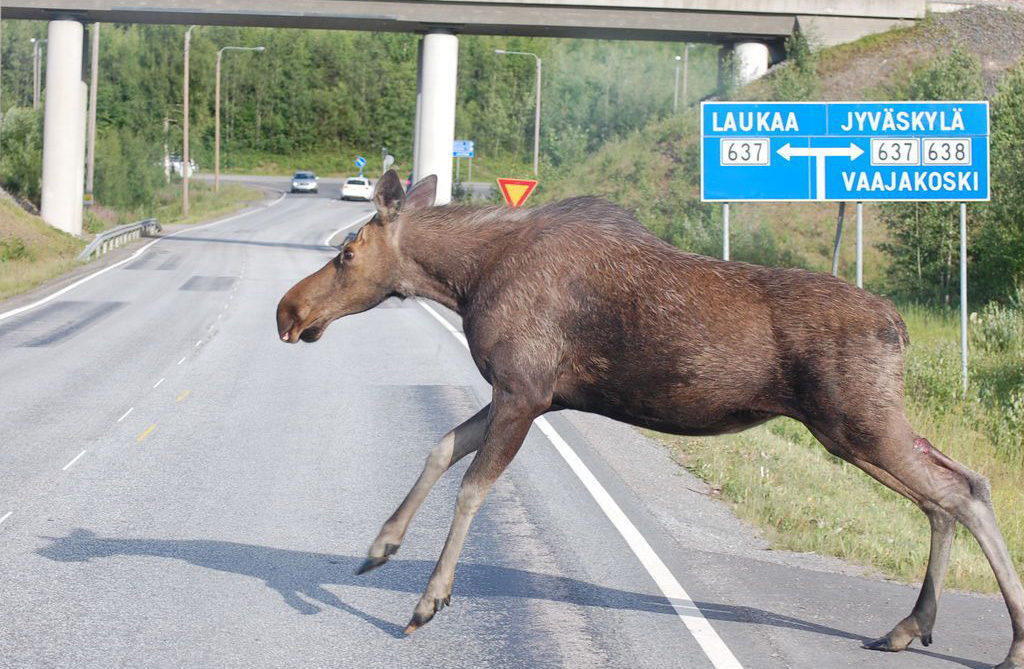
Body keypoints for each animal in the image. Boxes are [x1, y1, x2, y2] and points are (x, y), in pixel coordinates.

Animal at [276, 170, 1019, 663]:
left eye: (346, 253)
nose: (288, 310)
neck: (465, 279)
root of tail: (900, 327)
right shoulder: (528, 394)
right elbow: (439, 447)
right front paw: (381, 545)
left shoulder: (524, 390)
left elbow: (472, 485)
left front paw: (428, 599)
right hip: (868, 423)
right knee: (962, 487)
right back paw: (911, 625)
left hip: (854, 423)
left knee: (956, 492)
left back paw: (1004, 643)